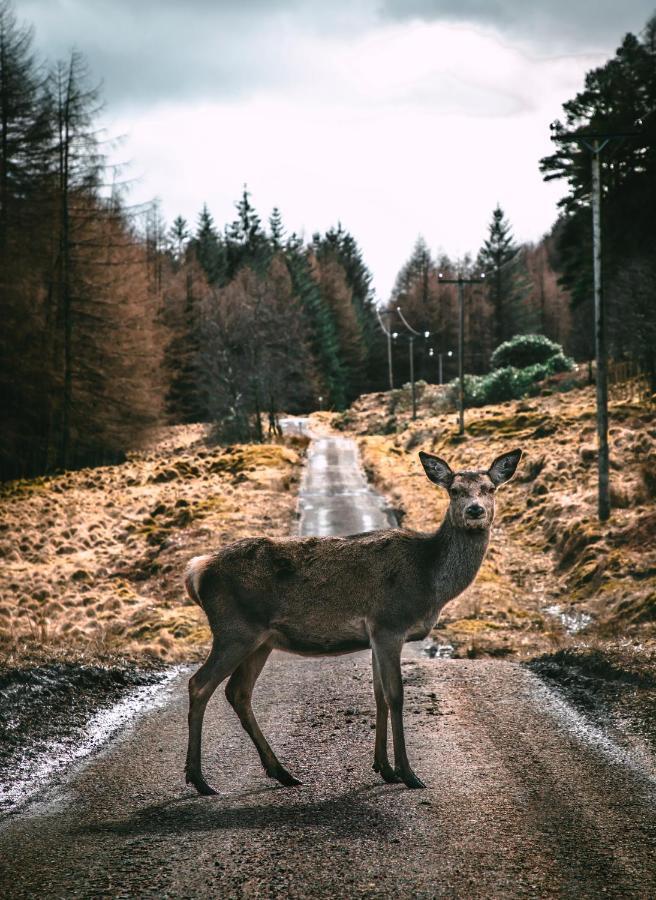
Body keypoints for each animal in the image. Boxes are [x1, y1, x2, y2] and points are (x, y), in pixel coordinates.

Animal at [184, 446, 524, 792]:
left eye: (490, 488)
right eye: (454, 490)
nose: (474, 510)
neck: (428, 580)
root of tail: (197, 570)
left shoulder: (374, 635)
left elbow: (379, 696)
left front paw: (384, 768)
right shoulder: (389, 623)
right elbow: (396, 696)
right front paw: (408, 773)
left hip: (260, 640)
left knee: (238, 692)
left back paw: (281, 772)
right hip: (234, 630)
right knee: (200, 684)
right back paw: (199, 779)